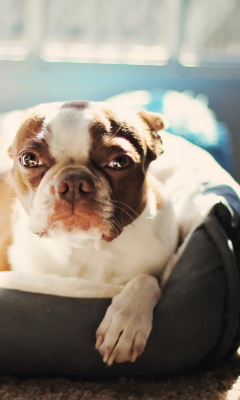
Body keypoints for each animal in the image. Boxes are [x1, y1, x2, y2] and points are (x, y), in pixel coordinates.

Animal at [0, 101, 236, 366]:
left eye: (119, 162)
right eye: (30, 159)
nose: (73, 182)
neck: (87, 247)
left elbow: (147, 279)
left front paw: (126, 322)